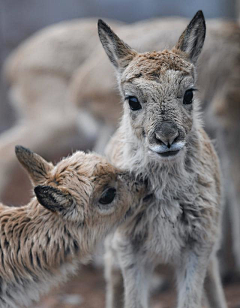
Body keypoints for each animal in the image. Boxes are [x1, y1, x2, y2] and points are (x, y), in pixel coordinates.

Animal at [98, 9, 228, 308]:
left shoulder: (198, 247)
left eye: (189, 94)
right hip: (112, 254)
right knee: (113, 284)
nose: (167, 137)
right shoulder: (129, 250)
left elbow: (191, 299)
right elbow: (134, 300)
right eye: (132, 100)